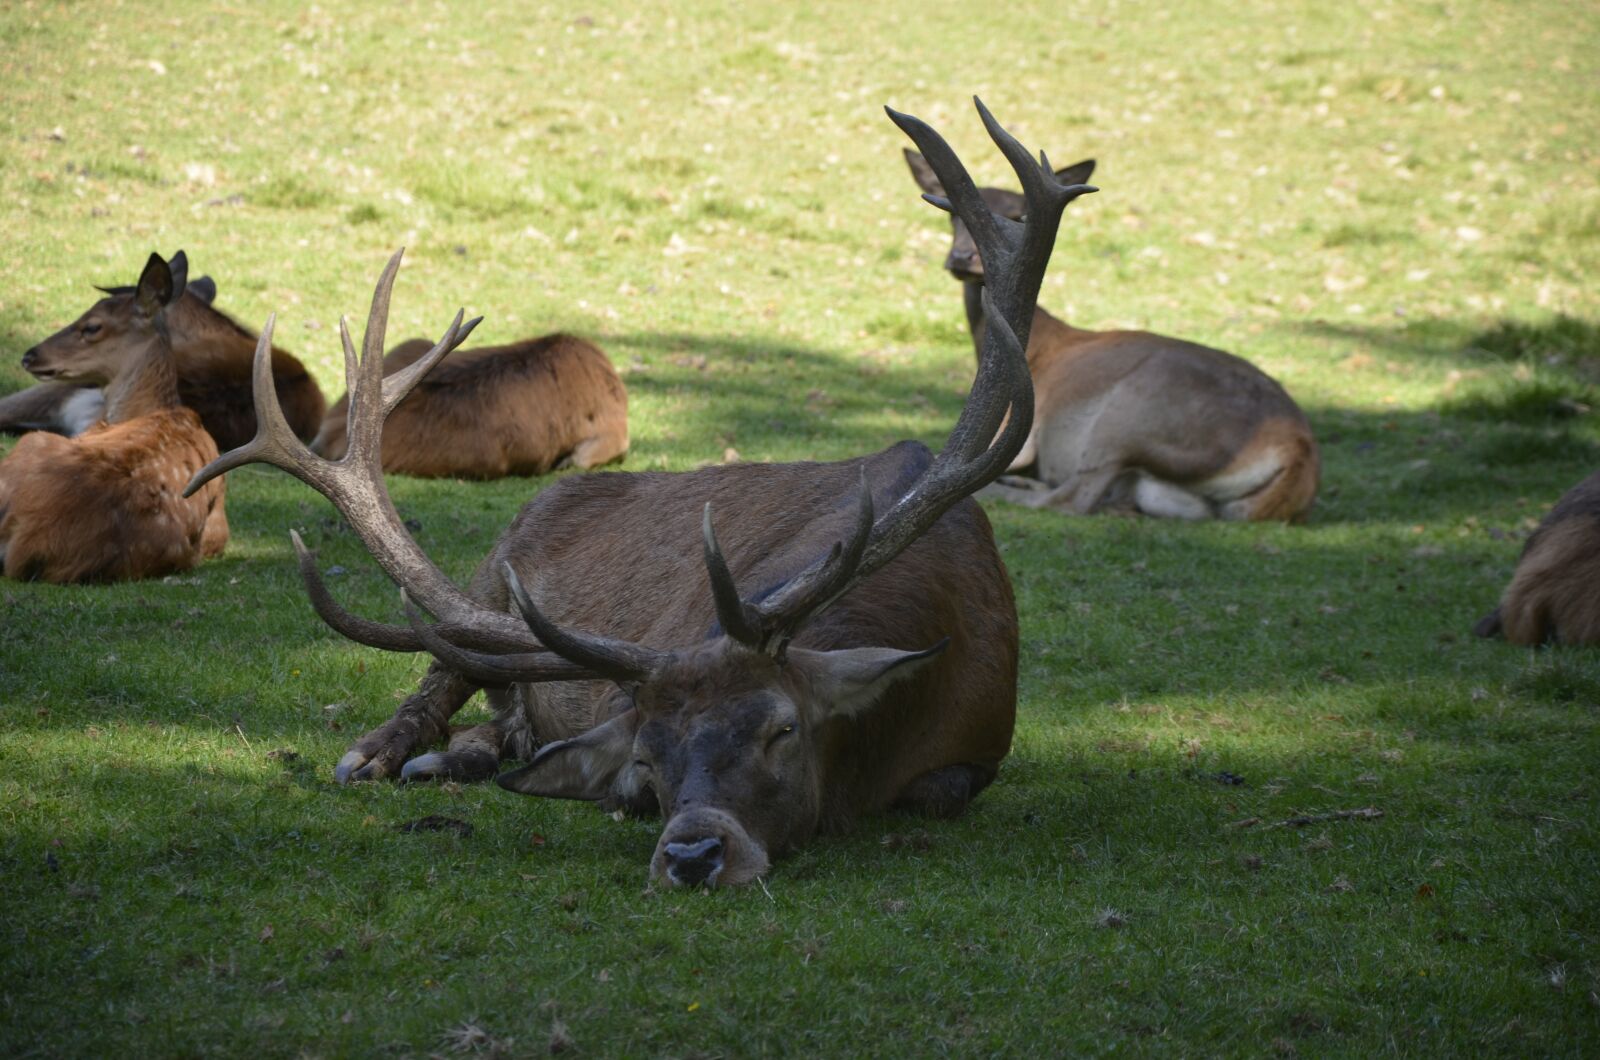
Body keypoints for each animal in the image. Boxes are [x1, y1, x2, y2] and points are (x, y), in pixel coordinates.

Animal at [905, 151, 1320, 522]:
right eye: (952, 216)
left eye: (1015, 214)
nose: (962, 258)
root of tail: (1295, 453)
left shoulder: (1022, 435)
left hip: (1125, 420)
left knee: (1071, 497)